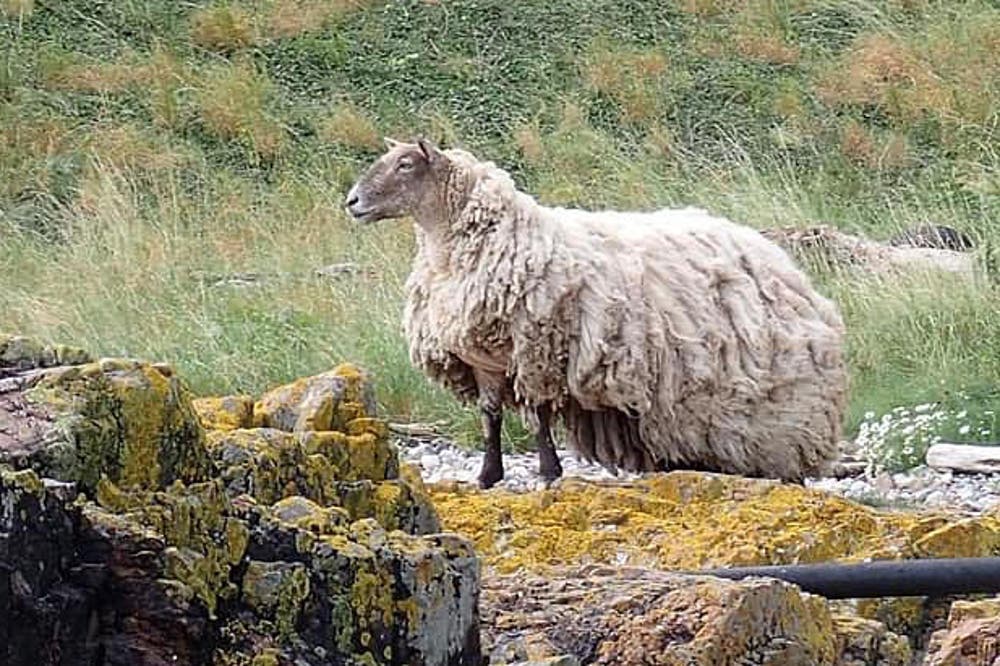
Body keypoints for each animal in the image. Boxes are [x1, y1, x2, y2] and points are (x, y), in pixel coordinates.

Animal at [345, 137, 848, 489]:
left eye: (405, 164)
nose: (351, 202)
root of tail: (785, 266)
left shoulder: (536, 349)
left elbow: (539, 415)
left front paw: (549, 471)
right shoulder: (482, 359)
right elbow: (490, 417)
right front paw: (488, 476)